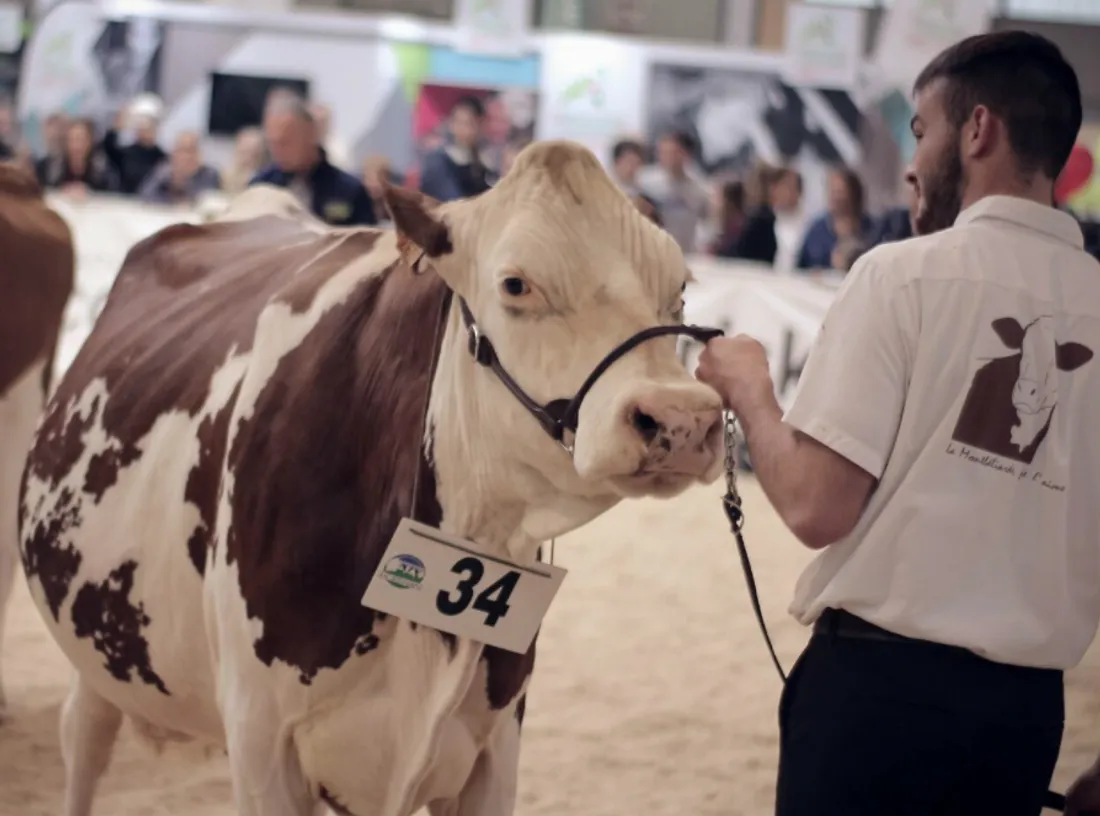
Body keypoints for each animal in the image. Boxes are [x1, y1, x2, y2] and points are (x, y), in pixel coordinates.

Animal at [19, 141, 725, 816]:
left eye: (680, 288)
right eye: (516, 284)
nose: (683, 417)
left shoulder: (495, 748)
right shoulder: (260, 743)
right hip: (97, 652)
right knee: (84, 739)